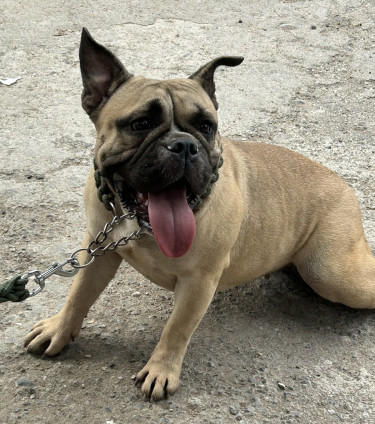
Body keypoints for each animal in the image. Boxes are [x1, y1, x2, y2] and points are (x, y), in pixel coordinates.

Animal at [25, 29, 375, 400]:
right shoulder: (98, 249)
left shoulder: (199, 282)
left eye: (206, 126)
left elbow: (176, 329)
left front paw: (161, 370)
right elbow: (79, 294)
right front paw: (58, 330)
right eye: (140, 123)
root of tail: (343, 185)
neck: (137, 225)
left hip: (330, 272)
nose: (184, 145)